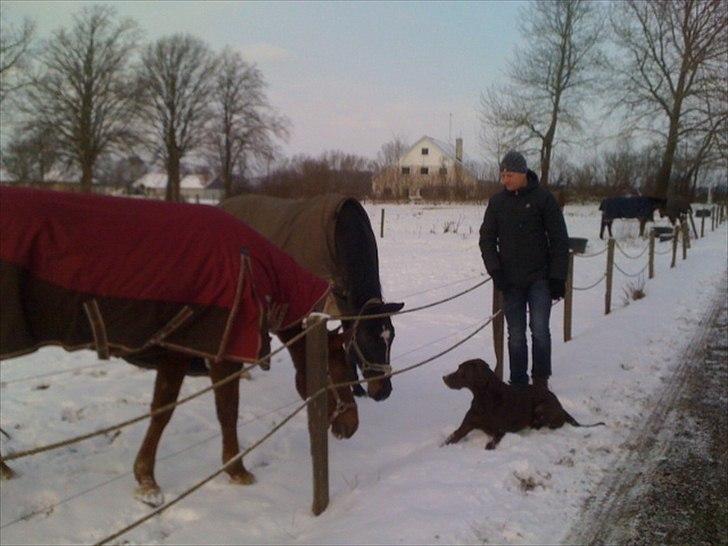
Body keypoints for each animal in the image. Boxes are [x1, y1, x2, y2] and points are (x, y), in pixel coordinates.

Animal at [0, 187, 358, 506]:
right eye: (338, 368)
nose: (351, 426)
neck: (249, 266)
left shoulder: (177, 351)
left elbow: (162, 411)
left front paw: (146, 479)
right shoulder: (222, 356)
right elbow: (227, 411)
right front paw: (237, 469)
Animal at [444, 356, 604, 446]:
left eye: (461, 371)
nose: (444, 377)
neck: (483, 398)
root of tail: (562, 407)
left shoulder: (500, 432)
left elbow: (490, 445)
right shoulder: (464, 427)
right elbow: (449, 439)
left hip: (541, 408)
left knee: (553, 424)